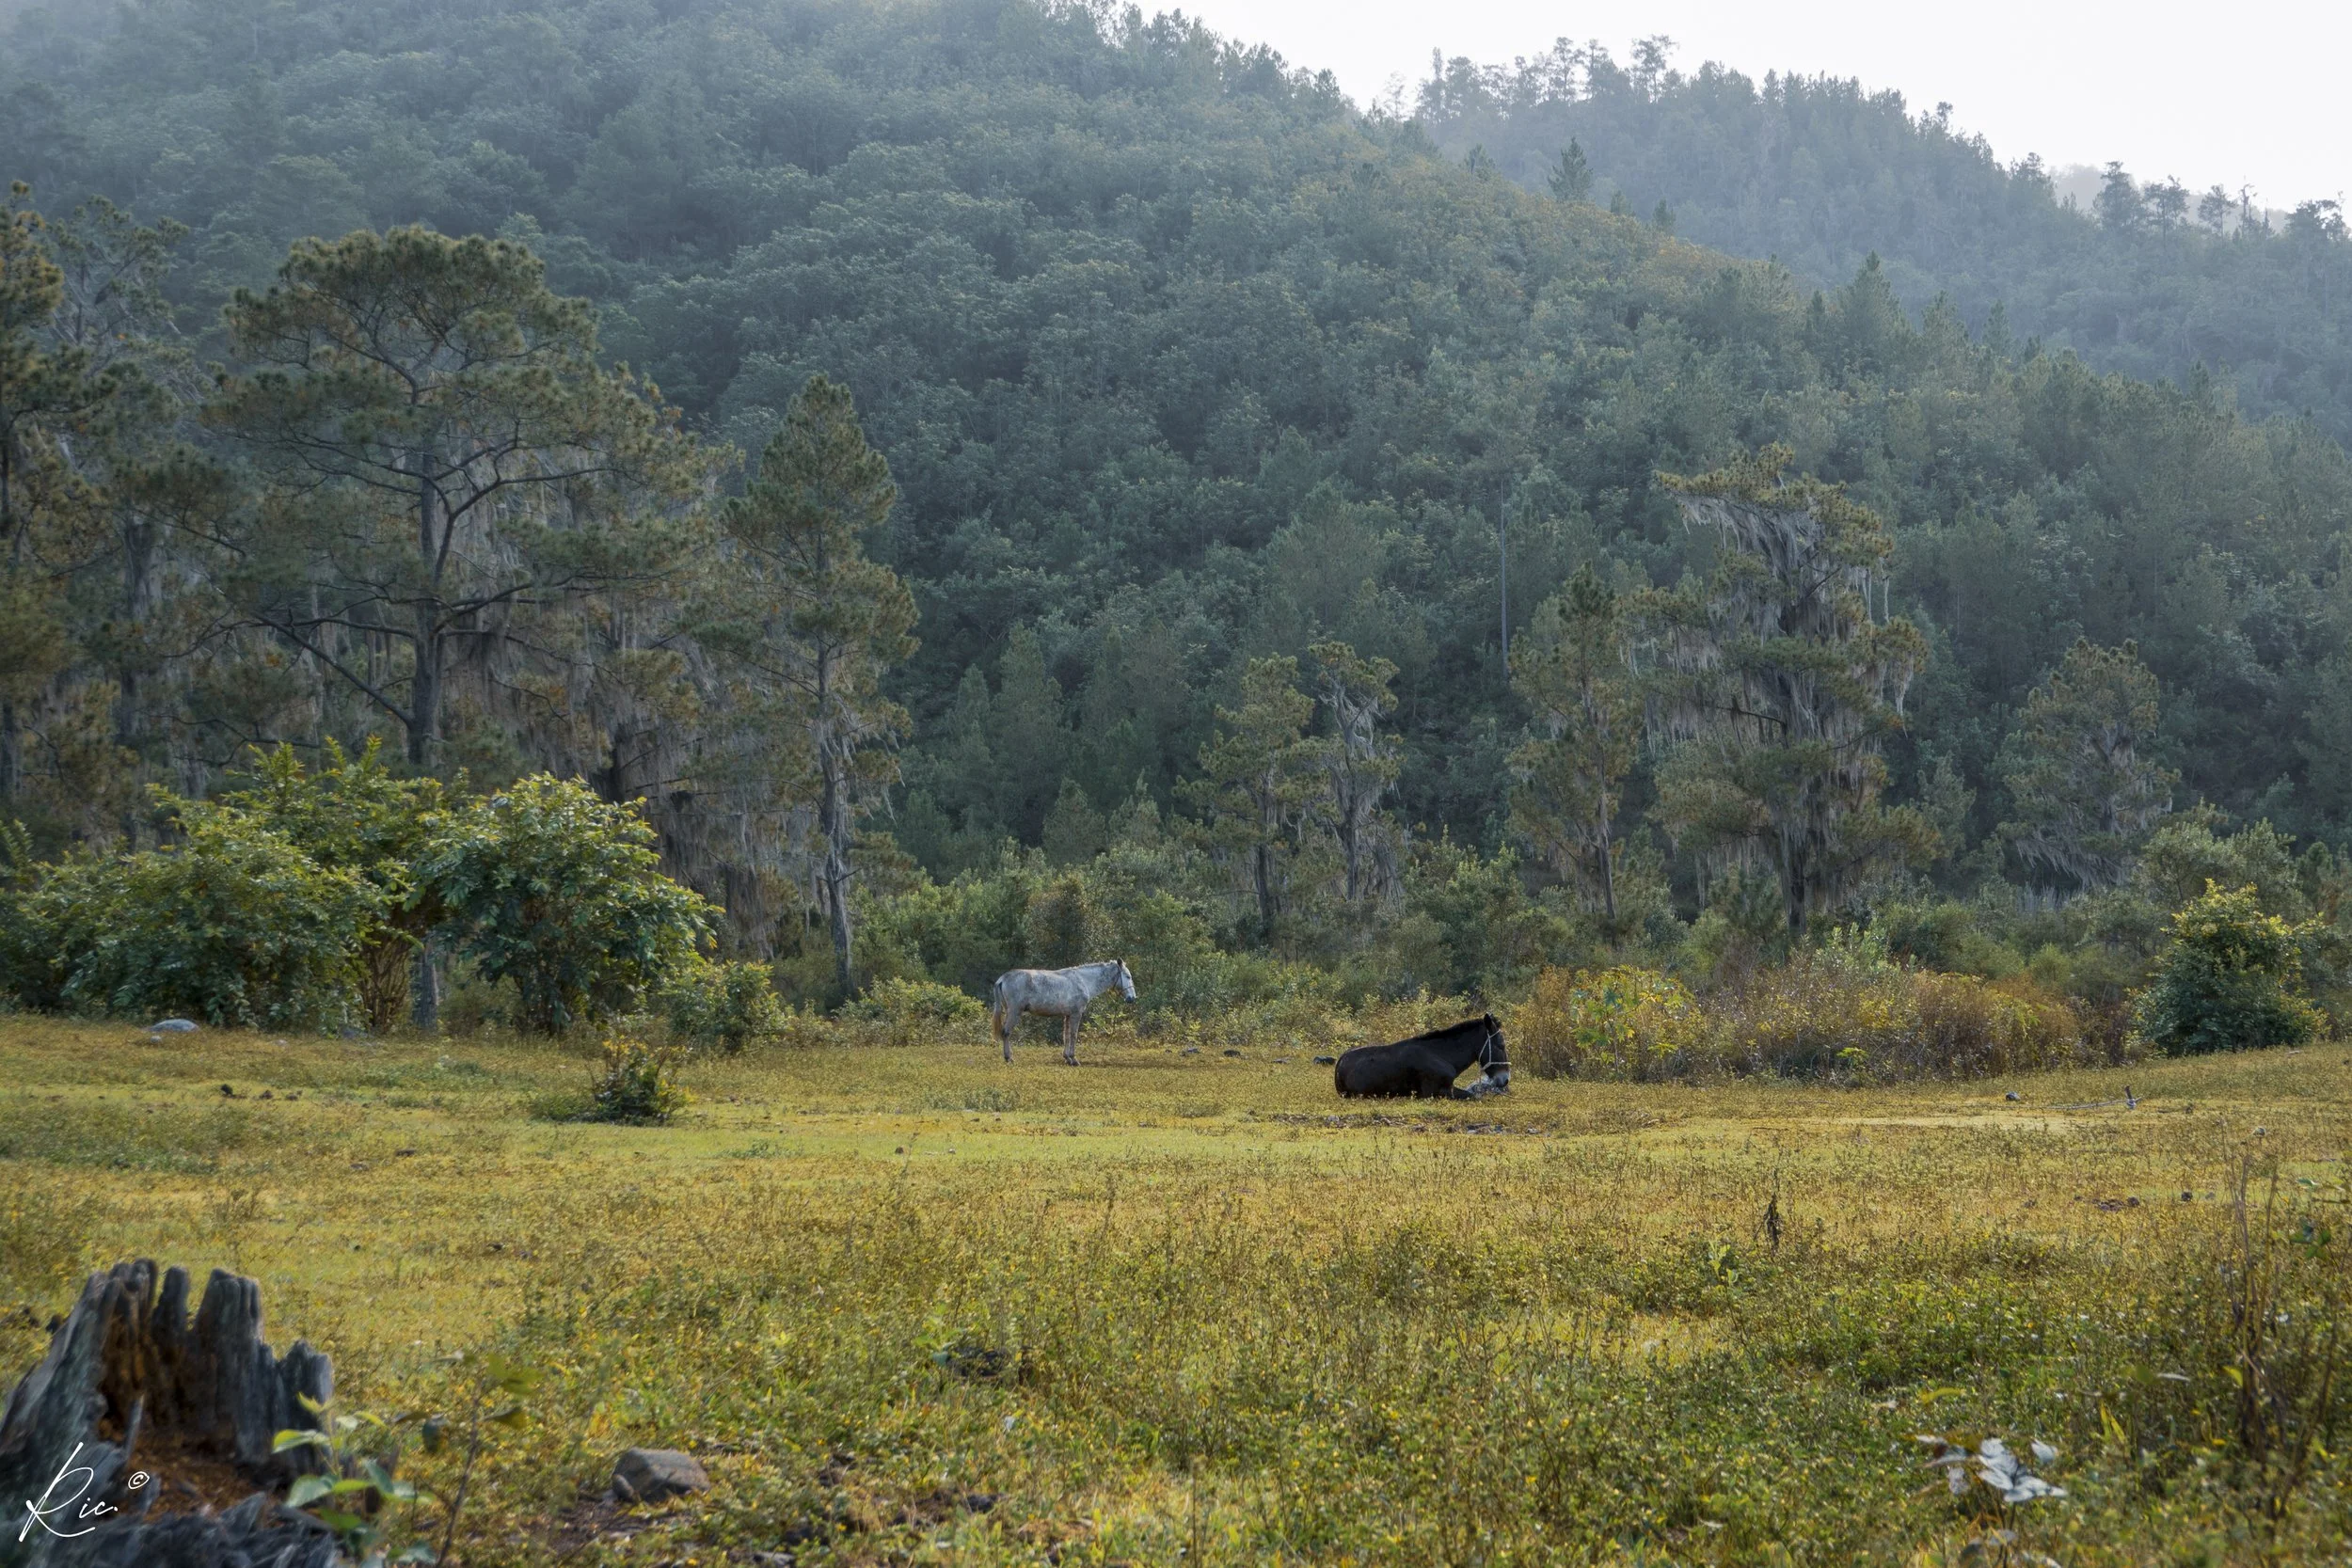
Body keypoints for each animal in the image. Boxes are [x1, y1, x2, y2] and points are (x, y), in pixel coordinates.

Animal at [990, 960, 1137, 1064]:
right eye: (1128, 976)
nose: (1132, 998)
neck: (1083, 981)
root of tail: (1003, 978)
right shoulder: (1076, 1014)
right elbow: (1073, 1035)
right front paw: (1073, 1059)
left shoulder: (1067, 1015)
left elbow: (1066, 1035)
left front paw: (1067, 1057)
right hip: (1014, 1012)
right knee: (1006, 1032)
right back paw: (1009, 1058)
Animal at [1333, 1014, 1510, 1099]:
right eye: (1501, 1045)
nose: (1506, 1079)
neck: (1443, 1055)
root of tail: (1339, 1064)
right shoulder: (1434, 1092)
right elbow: (1474, 1096)